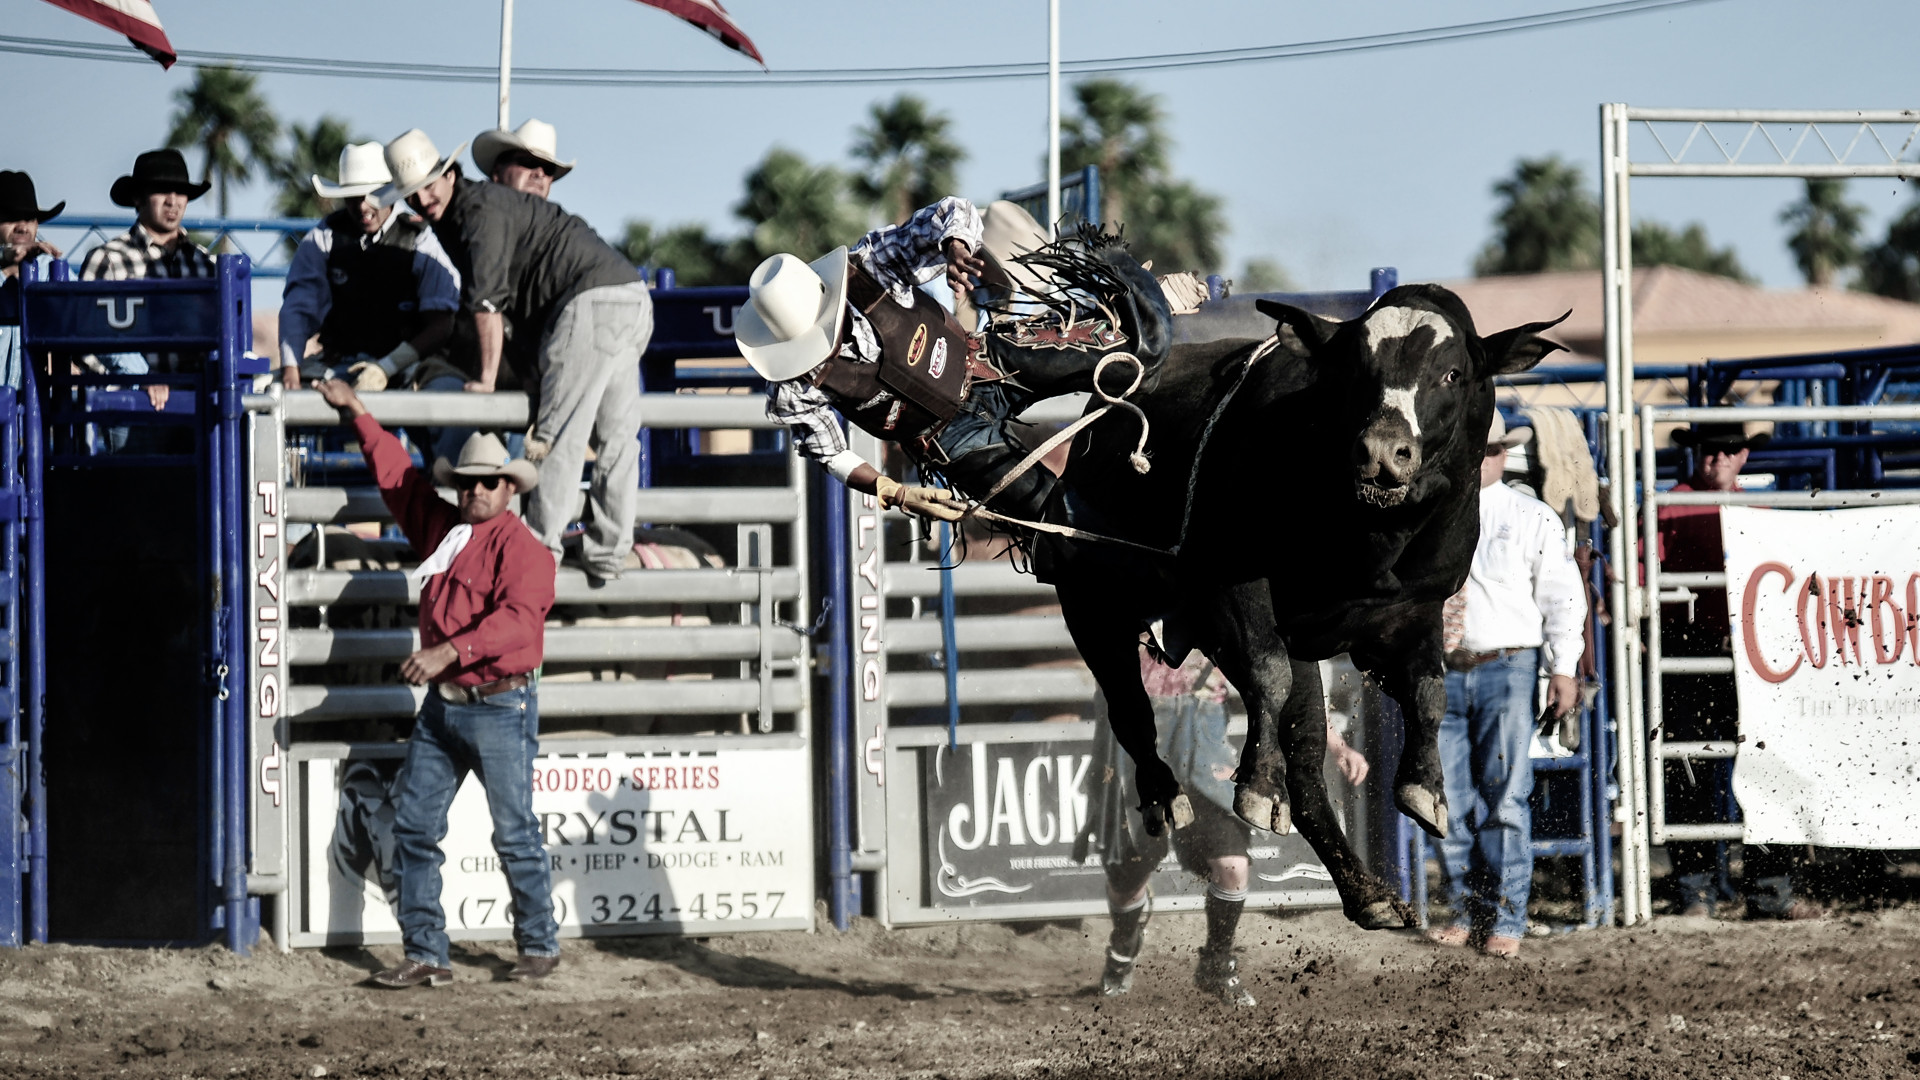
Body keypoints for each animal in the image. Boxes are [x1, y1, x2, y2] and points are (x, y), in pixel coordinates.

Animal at [1044, 283, 1566, 927]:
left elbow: (1428, 694)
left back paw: (1369, 894)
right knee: (1132, 709)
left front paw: (1426, 790)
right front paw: (1256, 787)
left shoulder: (1416, 611)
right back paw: (1167, 797)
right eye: (1355, 370)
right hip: (1091, 607)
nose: (1380, 453)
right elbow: (1266, 676)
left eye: (1452, 372)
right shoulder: (1234, 587)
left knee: (1309, 759)